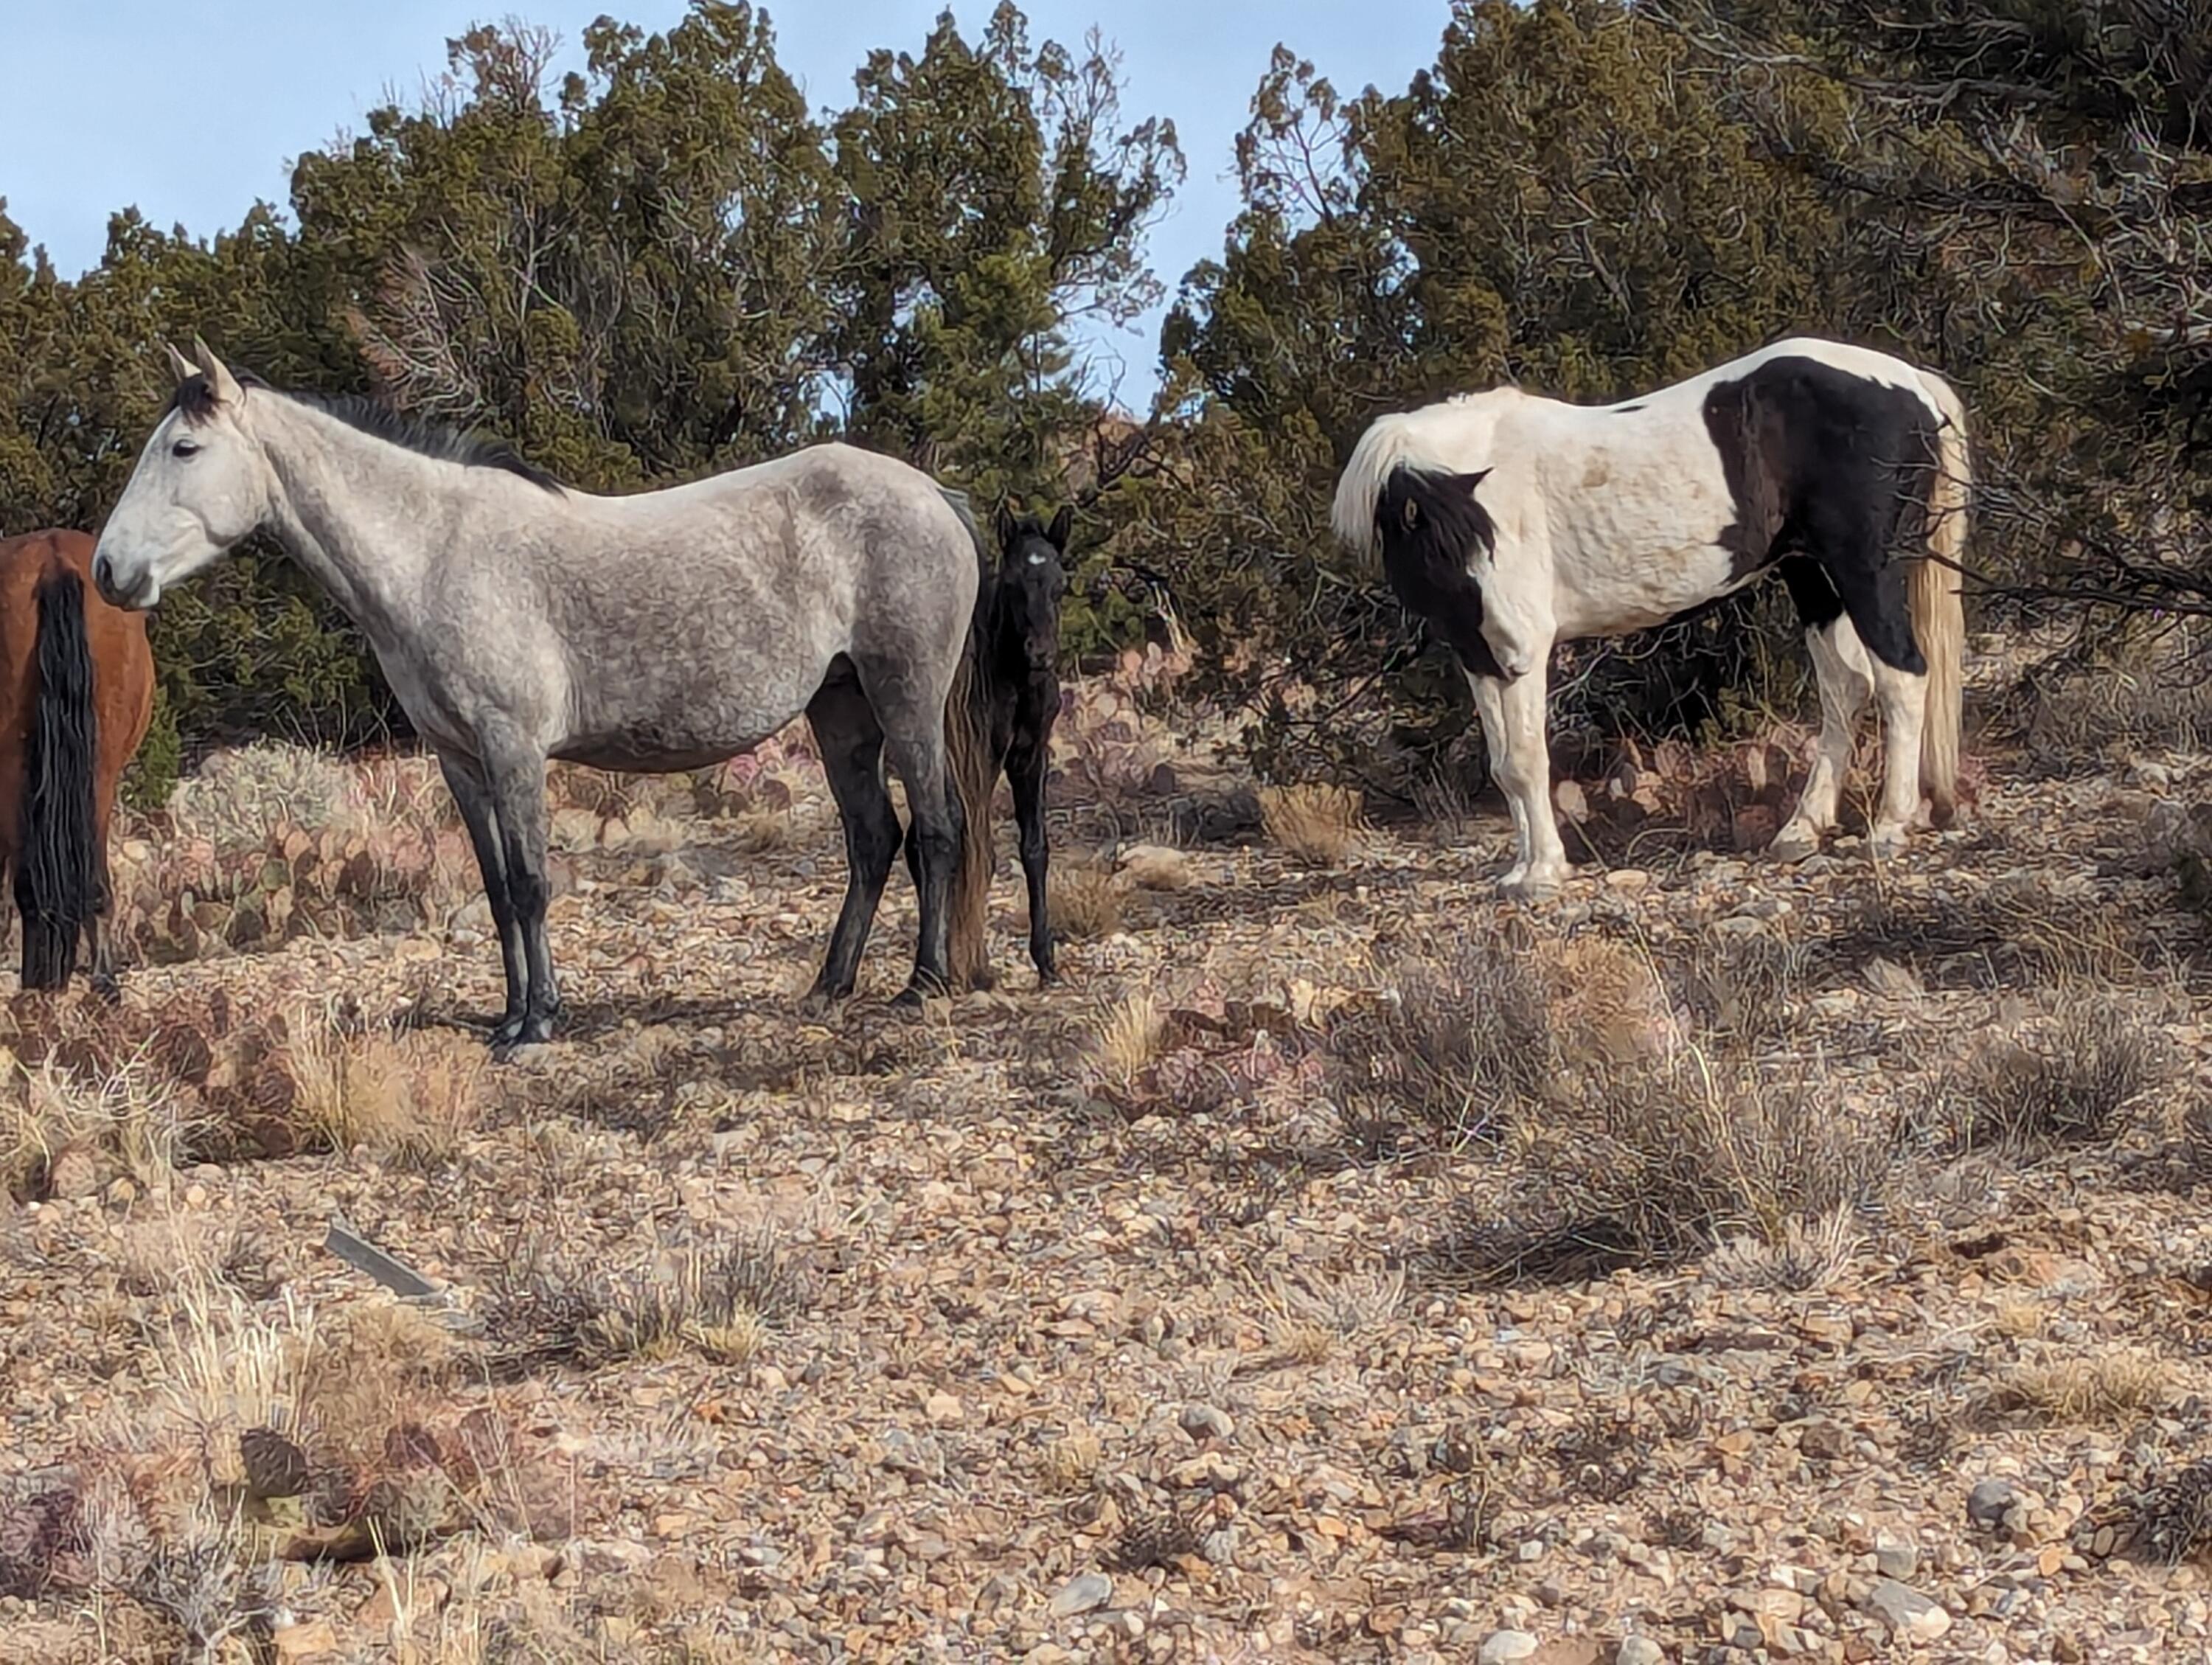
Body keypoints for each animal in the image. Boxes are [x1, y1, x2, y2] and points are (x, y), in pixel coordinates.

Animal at [95, 338, 995, 1043]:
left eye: (183, 449)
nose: (110, 571)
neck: (435, 552)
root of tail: (931, 494)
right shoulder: (460, 760)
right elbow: (498, 893)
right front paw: (509, 1016)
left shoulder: (514, 748)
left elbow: (531, 882)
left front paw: (539, 1021)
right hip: (840, 710)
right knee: (873, 839)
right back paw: (830, 984)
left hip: (905, 698)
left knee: (935, 829)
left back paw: (923, 983)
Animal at [1327, 329, 1973, 889]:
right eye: (1430, 534)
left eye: (1474, 524)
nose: (1502, 604)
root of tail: (1909, 380)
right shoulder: (1478, 653)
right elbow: (1505, 765)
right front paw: (1523, 870)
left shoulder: (1518, 651)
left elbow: (1529, 758)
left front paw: (1543, 874)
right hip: (1810, 575)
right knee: (1846, 688)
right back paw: (1801, 829)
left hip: (1864, 569)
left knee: (1902, 679)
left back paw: (1888, 826)